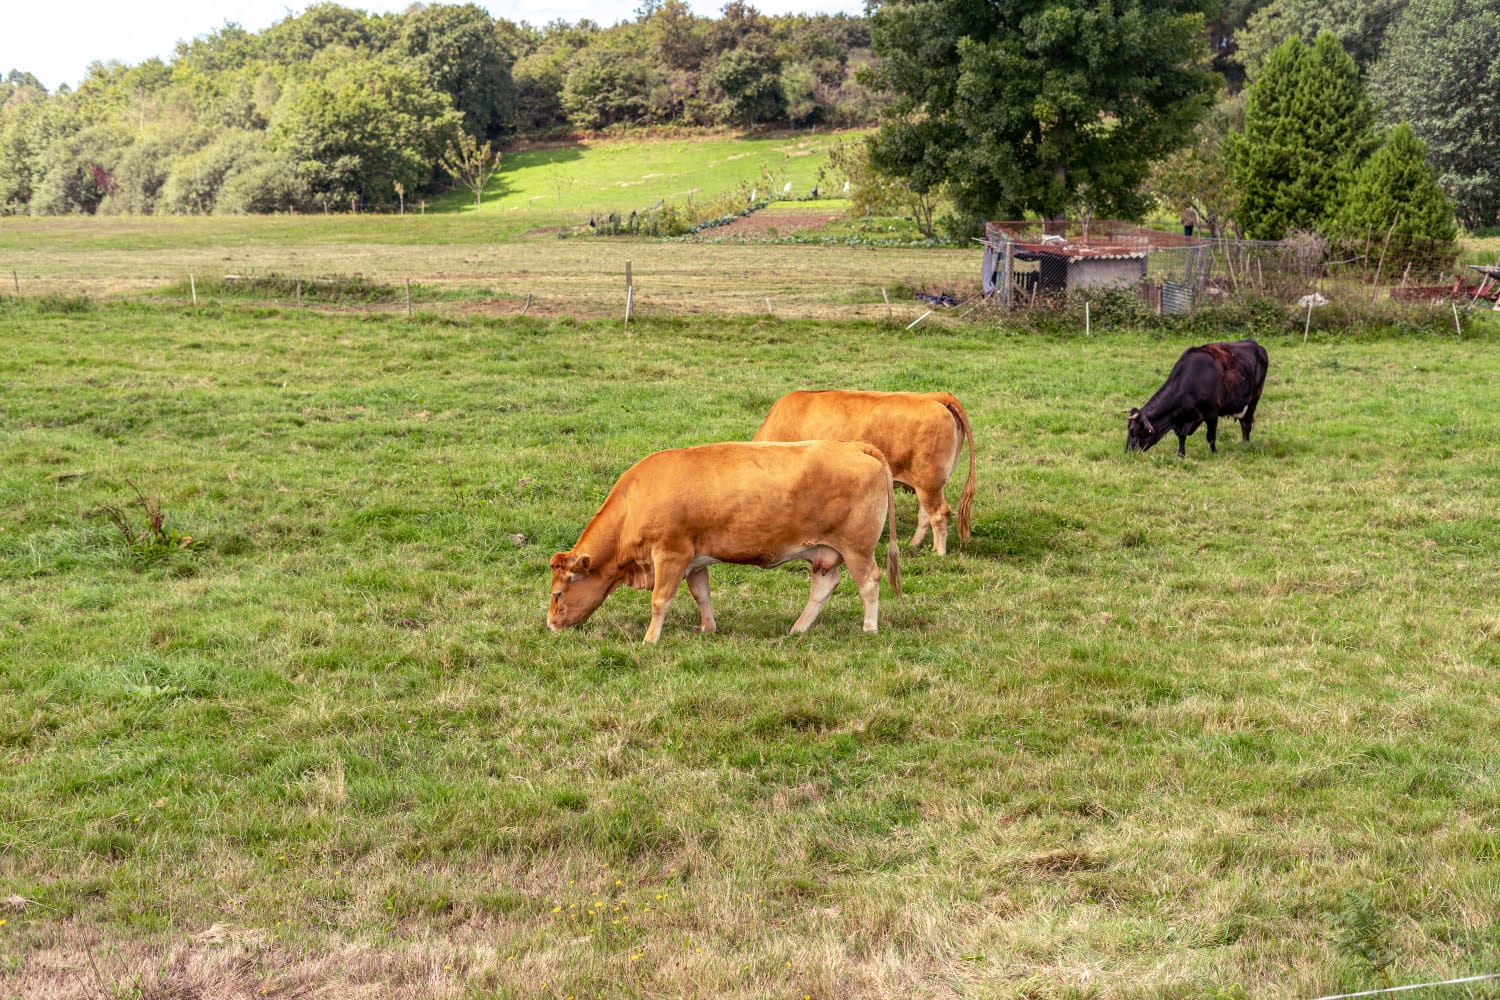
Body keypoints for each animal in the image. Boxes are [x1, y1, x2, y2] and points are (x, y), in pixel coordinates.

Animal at [552, 440, 900, 644]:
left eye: (557, 593)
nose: (550, 625)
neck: (636, 498)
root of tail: (854, 446)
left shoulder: (670, 554)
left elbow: (660, 599)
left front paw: (650, 639)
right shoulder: (694, 560)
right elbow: (701, 594)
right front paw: (708, 628)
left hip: (857, 548)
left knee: (869, 581)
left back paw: (869, 627)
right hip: (824, 555)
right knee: (823, 588)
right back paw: (798, 628)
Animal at [1128, 340, 1266, 458]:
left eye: (1134, 432)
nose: (1128, 452)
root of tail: (1255, 344)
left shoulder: (1212, 413)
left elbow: (1211, 437)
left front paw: (1215, 453)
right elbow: (1182, 436)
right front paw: (1181, 455)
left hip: (1254, 399)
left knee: (1246, 423)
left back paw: (1246, 445)